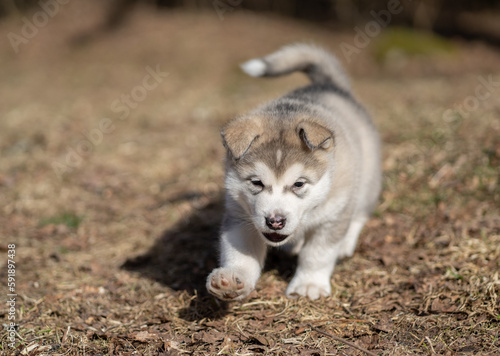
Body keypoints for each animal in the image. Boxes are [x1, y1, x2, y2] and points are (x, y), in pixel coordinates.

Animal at [205, 44, 380, 300]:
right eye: (256, 183)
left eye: (299, 184)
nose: (275, 222)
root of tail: (329, 85)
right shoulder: (240, 216)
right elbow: (240, 253)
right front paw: (231, 280)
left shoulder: (332, 217)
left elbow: (317, 254)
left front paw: (309, 285)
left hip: (367, 178)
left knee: (359, 213)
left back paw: (346, 242)